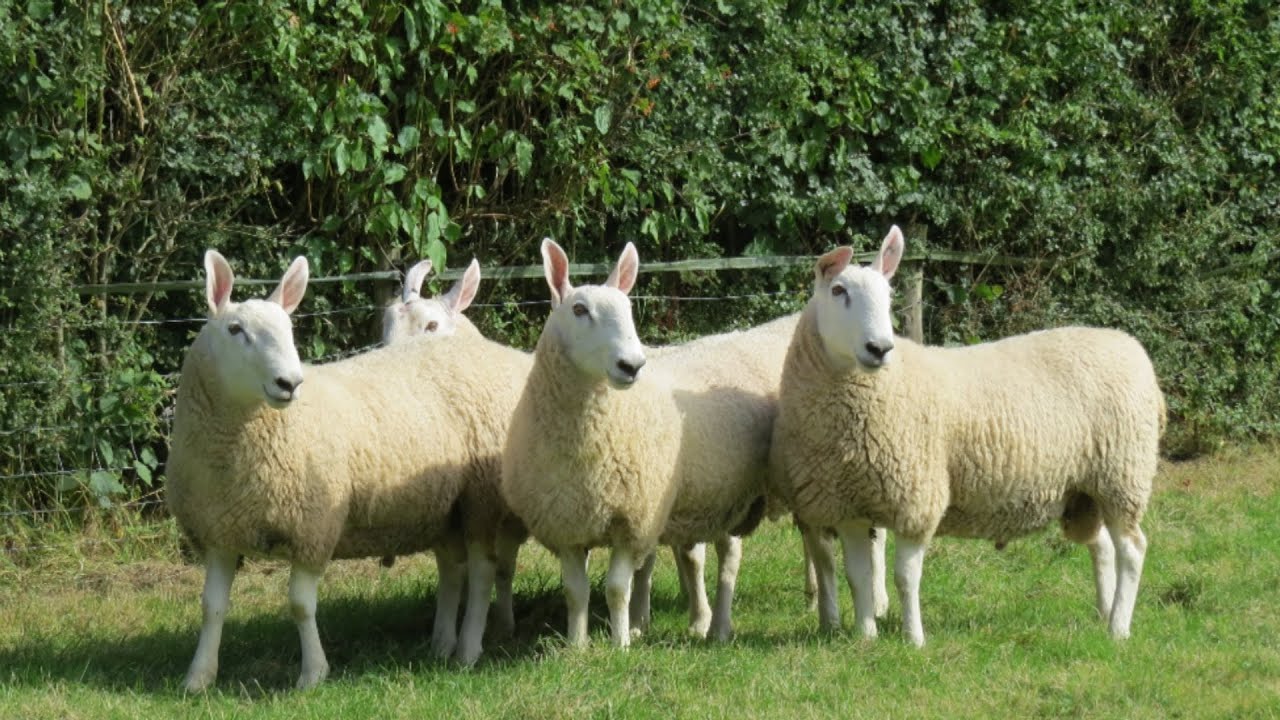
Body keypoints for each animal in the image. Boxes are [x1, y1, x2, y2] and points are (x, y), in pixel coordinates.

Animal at [166, 250, 528, 690]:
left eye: (289, 329)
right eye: (235, 329)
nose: (289, 382)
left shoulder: (314, 526)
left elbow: (300, 605)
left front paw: (312, 674)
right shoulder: (219, 531)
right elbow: (212, 607)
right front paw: (198, 677)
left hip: (480, 500)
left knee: (482, 571)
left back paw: (469, 650)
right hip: (445, 507)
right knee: (454, 570)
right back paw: (443, 643)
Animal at [501, 239, 773, 647]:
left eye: (628, 310)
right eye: (579, 309)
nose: (632, 365)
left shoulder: (633, 520)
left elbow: (617, 588)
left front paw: (620, 645)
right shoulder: (566, 523)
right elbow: (575, 591)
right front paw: (577, 646)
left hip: (730, 497)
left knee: (729, 558)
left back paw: (719, 627)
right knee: (692, 556)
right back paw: (695, 620)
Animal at [769, 226, 1164, 646]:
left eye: (889, 296)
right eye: (838, 290)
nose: (880, 348)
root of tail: (1129, 345)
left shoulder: (917, 498)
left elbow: (905, 577)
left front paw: (914, 640)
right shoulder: (847, 506)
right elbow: (858, 577)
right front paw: (865, 637)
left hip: (1122, 475)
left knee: (1132, 549)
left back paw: (1119, 628)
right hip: (1084, 488)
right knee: (1102, 546)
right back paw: (1104, 613)